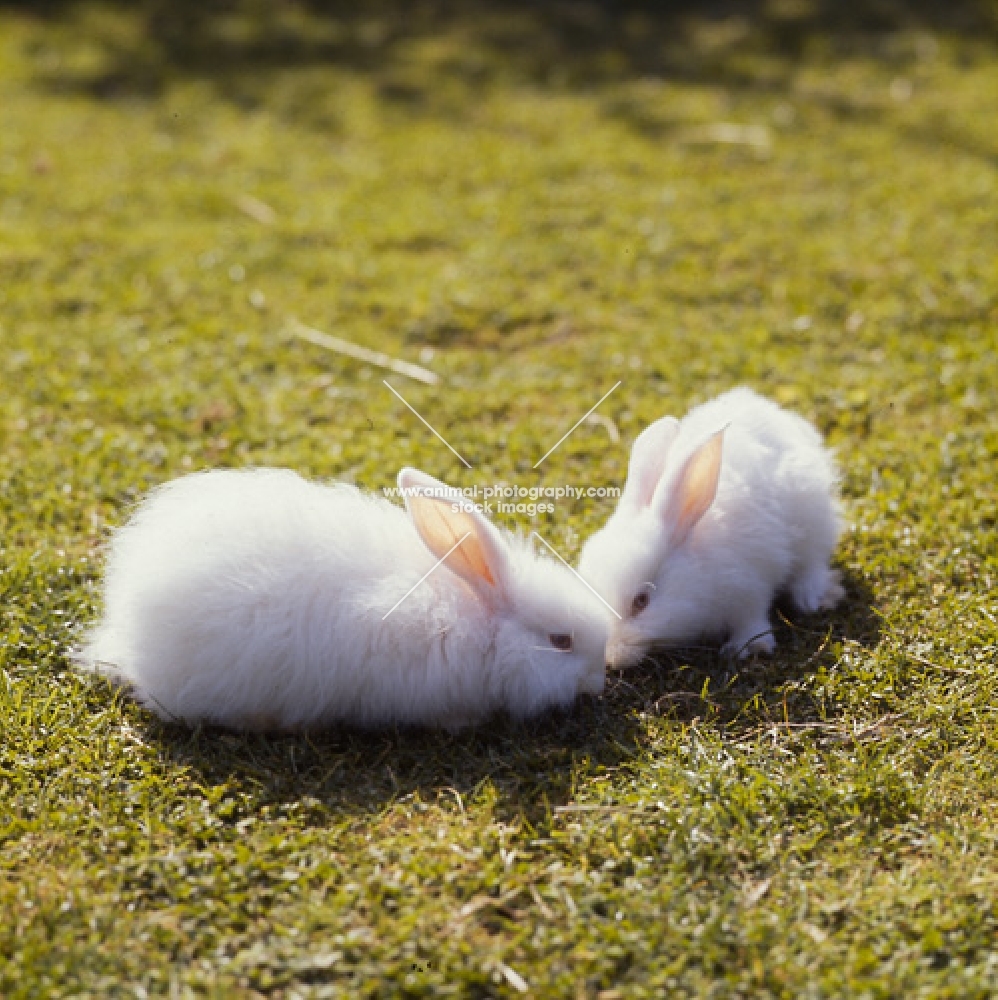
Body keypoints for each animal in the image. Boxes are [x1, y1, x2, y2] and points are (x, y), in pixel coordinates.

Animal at [580, 388, 844, 664]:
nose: (610, 657)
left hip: (813, 523)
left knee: (812, 564)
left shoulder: (749, 587)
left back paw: (816, 598)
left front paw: (749, 647)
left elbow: (752, 621)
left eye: (641, 601)